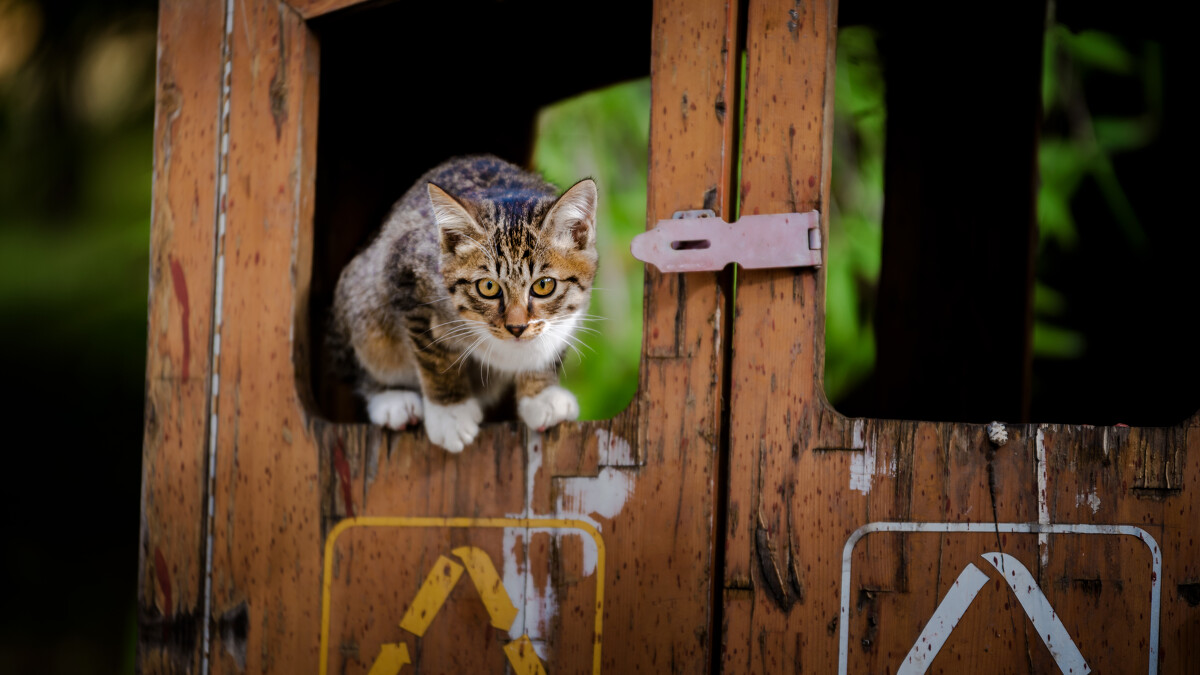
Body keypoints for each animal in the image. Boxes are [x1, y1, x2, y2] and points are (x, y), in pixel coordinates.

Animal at [331, 154, 597, 449]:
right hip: (361, 297)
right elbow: (433, 353)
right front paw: (450, 413)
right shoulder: (405, 275)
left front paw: (541, 395)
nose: (516, 327)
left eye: (543, 285)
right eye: (488, 287)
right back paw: (391, 399)